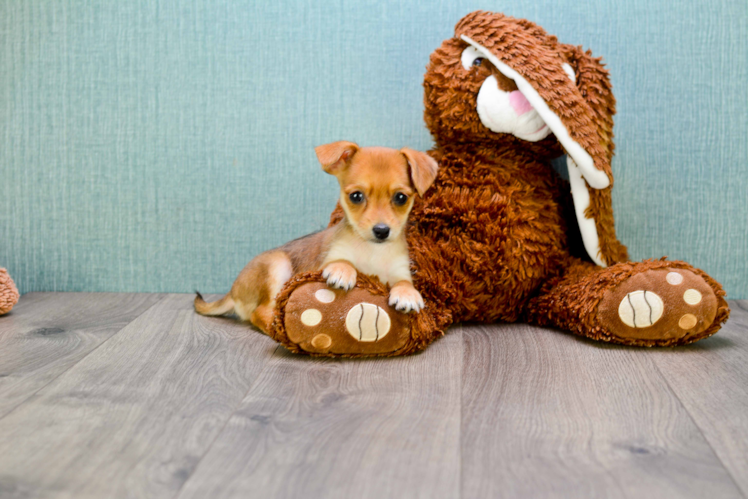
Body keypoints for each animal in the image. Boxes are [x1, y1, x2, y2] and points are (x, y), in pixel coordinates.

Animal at [193, 141, 438, 334]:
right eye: (356, 196)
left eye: (401, 198)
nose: (381, 230)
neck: (373, 252)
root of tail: (232, 291)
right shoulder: (327, 261)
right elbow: (342, 260)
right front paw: (342, 270)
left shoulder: (400, 271)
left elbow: (404, 282)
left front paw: (407, 294)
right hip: (277, 265)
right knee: (259, 313)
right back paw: (277, 327)